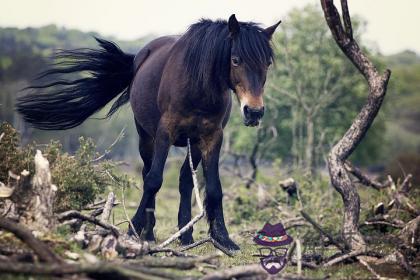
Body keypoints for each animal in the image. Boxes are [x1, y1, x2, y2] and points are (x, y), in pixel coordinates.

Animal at [16, 14, 280, 250]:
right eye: (235, 60)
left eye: (267, 63)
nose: (254, 112)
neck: (198, 87)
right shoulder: (165, 133)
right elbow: (154, 180)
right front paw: (133, 229)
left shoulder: (211, 137)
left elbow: (214, 188)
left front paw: (223, 238)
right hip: (146, 137)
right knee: (147, 173)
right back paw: (149, 232)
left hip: (192, 143)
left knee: (185, 180)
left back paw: (185, 235)